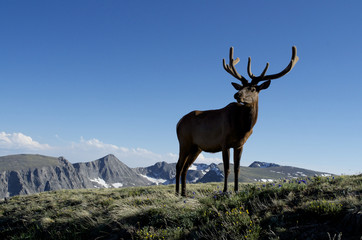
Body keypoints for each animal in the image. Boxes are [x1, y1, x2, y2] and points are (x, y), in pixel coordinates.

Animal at [176, 46, 300, 196]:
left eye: (252, 88)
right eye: (240, 86)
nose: (237, 94)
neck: (243, 127)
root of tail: (178, 123)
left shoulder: (240, 145)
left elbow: (237, 168)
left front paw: (236, 190)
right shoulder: (224, 142)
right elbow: (227, 169)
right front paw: (225, 191)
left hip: (196, 147)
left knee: (185, 167)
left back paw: (184, 193)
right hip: (184, 142)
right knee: (179, 166)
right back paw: (177, 192)